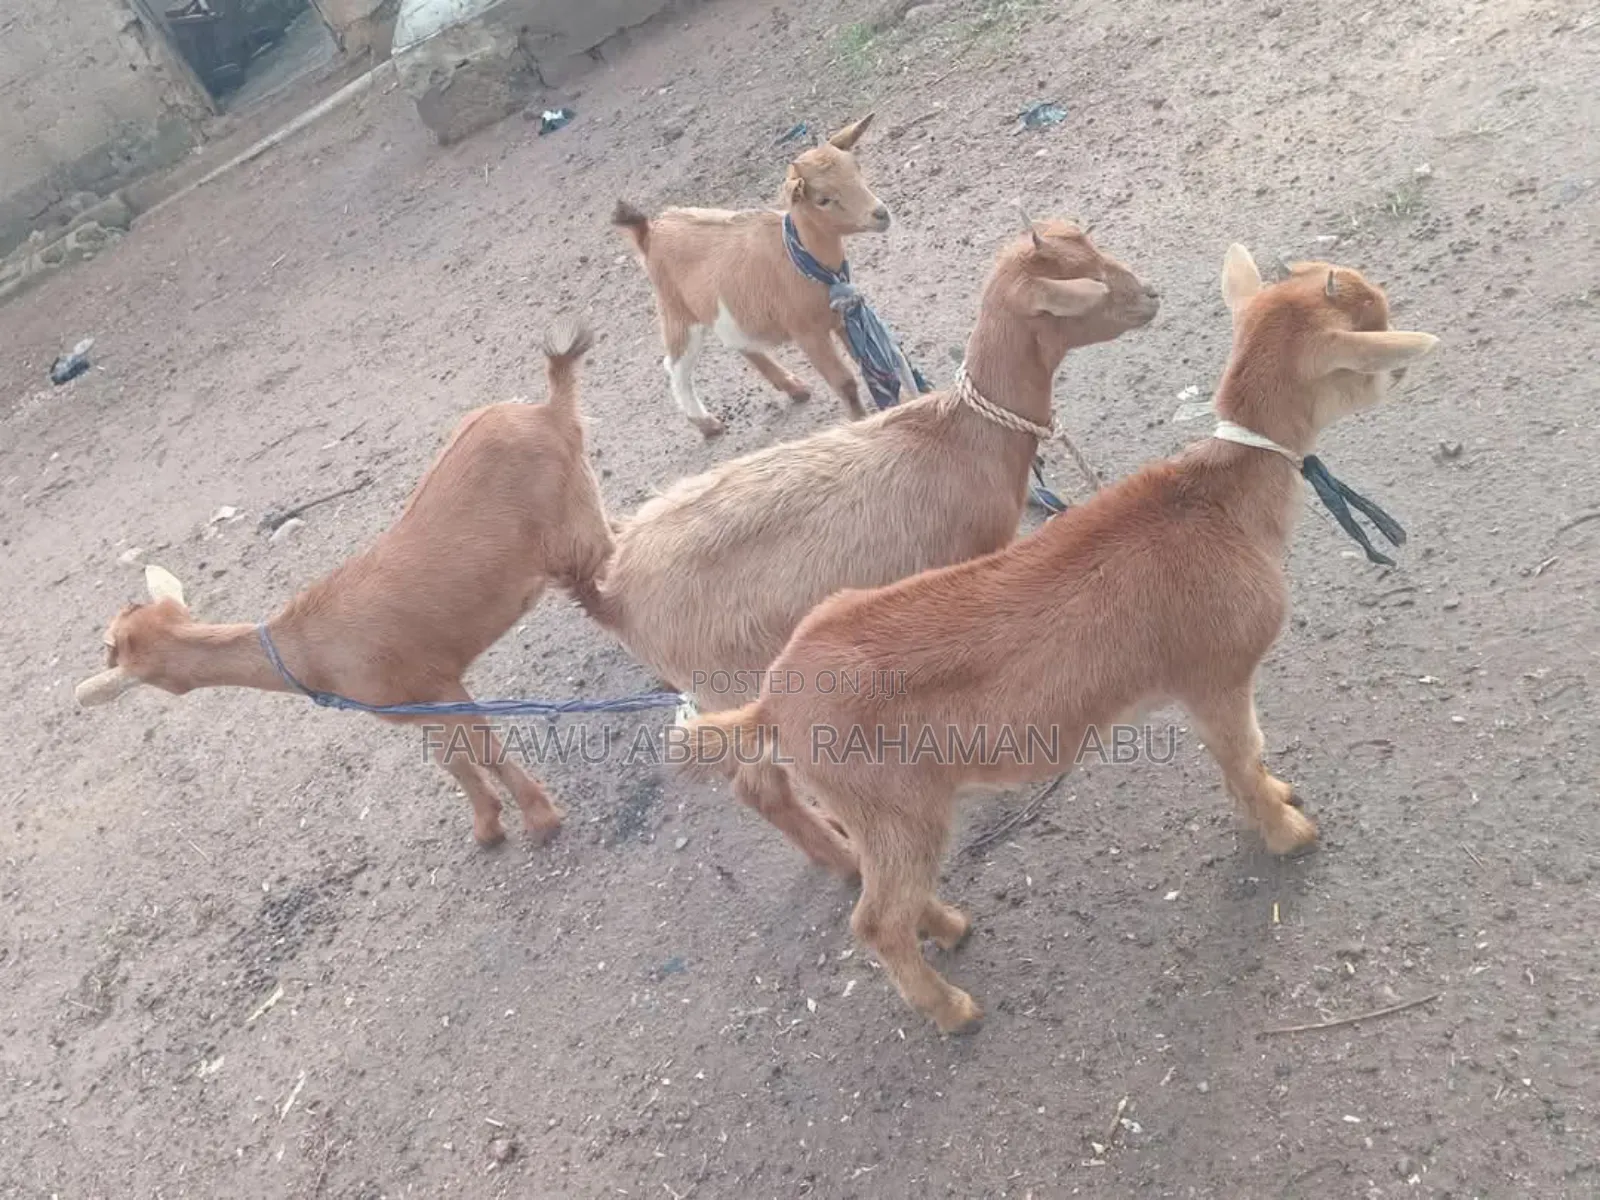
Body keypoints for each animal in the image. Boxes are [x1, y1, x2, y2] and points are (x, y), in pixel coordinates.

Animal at [74, 320, 613, 849]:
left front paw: (542, 821)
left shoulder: (436, 683)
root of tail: (549, 408)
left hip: (574, 526)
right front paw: (487, 827)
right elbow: (453, 760)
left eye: (113, 648)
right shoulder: (414, 701)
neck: (310, 649)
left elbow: (483, 751)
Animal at [584, 219, 1160, 874]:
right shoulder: (963, 556)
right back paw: (846, 861)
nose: (1151, 297)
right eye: (1082, 285)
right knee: (758, 785)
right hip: (727, 677)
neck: (963, 438)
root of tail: (614, 593)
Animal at [612, 114, 895, 437]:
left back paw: (795, 388)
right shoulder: (806, 332)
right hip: (675, 310)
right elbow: (844, 381)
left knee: (738, 342)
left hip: (721, 308)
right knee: (674, 365)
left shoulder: (840, 319)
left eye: (856, 167)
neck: (800, 260)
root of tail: (649, 232)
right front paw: (859, 424)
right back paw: (708, 424)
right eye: (822, 199)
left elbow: (864, 361)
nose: (880, 213)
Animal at [683, 246, 1439, 1033]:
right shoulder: (1216, 674)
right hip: (894, 808)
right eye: (1368, 335)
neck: (1219, 504)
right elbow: (1241, 756)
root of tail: (769, 706)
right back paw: (952, 1008)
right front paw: (1289, 832)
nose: (1405, 361)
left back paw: (948, 927)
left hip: (878, 811)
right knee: (875, 921)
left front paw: (1280, 797)